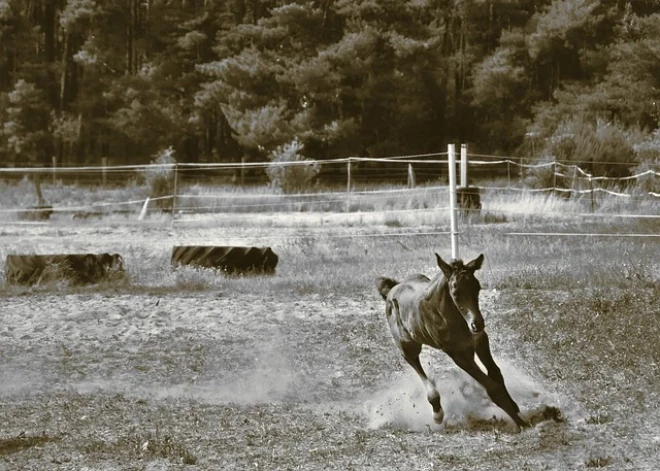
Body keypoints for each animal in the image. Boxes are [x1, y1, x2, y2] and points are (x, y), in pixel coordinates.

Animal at [376, 254, 532, 432]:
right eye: (456, 293)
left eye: (477, 288)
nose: (477, 324)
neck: (454, 318)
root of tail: (392, 289)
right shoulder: (458, 355)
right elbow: (492, 388)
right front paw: (521, 423)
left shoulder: (479, 341)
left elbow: (496, 373)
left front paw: (514, 406)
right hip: (408, 347)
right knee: (415, 363)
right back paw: (437, 411)